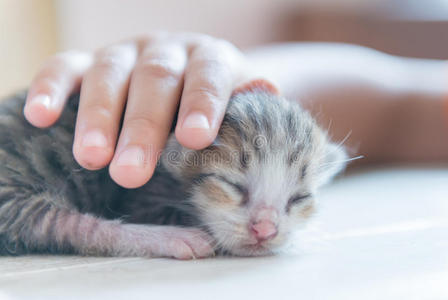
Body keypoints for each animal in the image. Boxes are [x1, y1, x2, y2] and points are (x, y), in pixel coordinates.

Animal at [0, 79, 346, 258]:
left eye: (299, 198)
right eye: (232, 185)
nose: (265, 230)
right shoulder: (139, 194)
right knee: (71, 227)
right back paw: (173, 238)